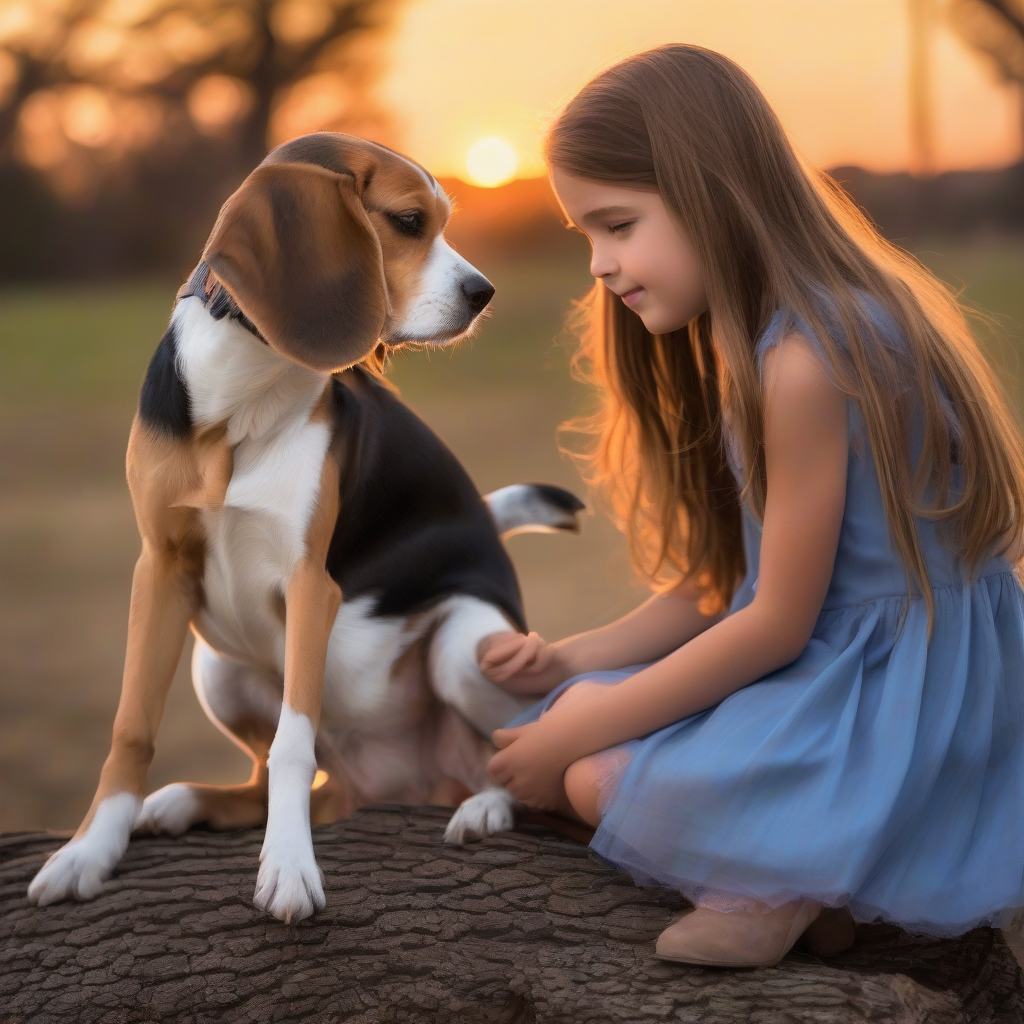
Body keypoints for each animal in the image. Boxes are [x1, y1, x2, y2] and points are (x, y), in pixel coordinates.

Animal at [25, 132, 585, 925]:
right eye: (409, 221)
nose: (485, 294)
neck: (246, 388)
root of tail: (400, 782)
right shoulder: (159, 568)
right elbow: (132, 726)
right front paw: (87, 853)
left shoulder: (309, 586)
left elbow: (295, 743)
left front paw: (288, 867)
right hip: (216, 663)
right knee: (272, 784)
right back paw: (185, 802)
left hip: (464, 646)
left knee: (514, 753)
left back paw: (484, 809)